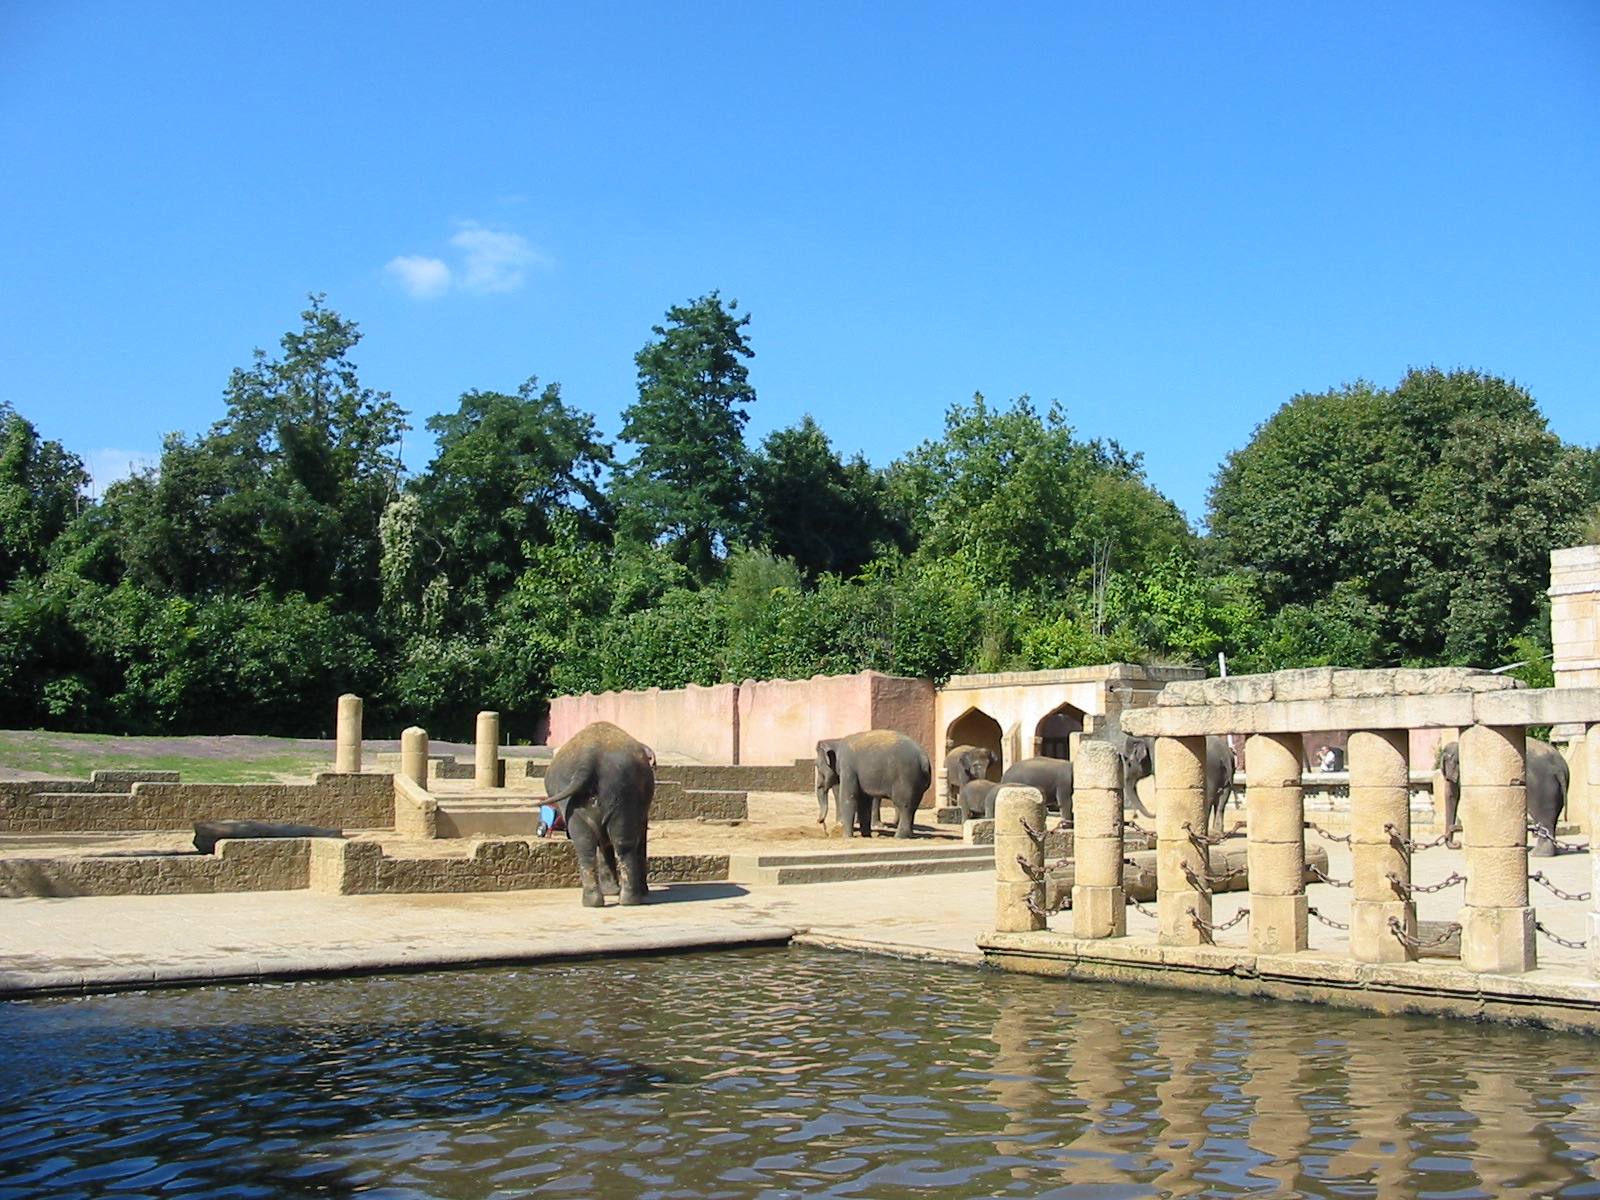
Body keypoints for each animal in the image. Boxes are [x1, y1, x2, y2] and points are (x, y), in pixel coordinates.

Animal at [542, 721, 655, 906]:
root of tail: (589, 758)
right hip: (619, 794)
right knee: (619, 842)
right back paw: (624, 900)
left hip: (600, 798)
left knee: (587, 843)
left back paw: (602, 901)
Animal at [1438, 737, 1568, 857]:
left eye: (1447, 776)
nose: (1456, 844)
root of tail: (1558, 766)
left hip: (1540, 787)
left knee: (1542, 816)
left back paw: (1537, 854)